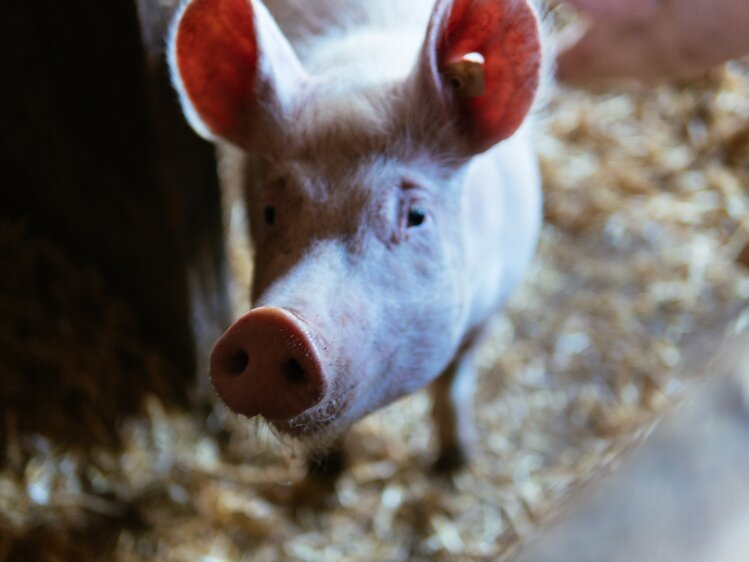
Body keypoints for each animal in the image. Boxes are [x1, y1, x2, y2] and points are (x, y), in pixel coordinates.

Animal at [168, 0, 544, 472]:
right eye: (269, 212)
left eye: (416, 216)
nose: (269, 326)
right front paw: (327, 472)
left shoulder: (493, 304)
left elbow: (454, 381)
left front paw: (457, 464)